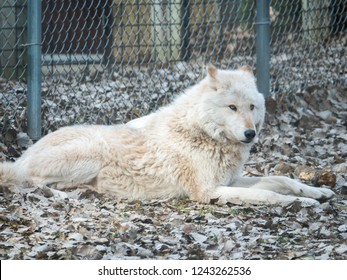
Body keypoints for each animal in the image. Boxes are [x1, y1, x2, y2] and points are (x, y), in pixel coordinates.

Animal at [0, 65, 338, 206]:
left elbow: (281, 180)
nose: (250, 134)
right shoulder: (207, 190)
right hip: (91, 155)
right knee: (32, 183)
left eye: (251, 107)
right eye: (231, 107)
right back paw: (65, 195)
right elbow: (268, 194)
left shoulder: (230, 180)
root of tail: (21, 156)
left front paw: (317, 192)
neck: (203, 133)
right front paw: (300, 204)